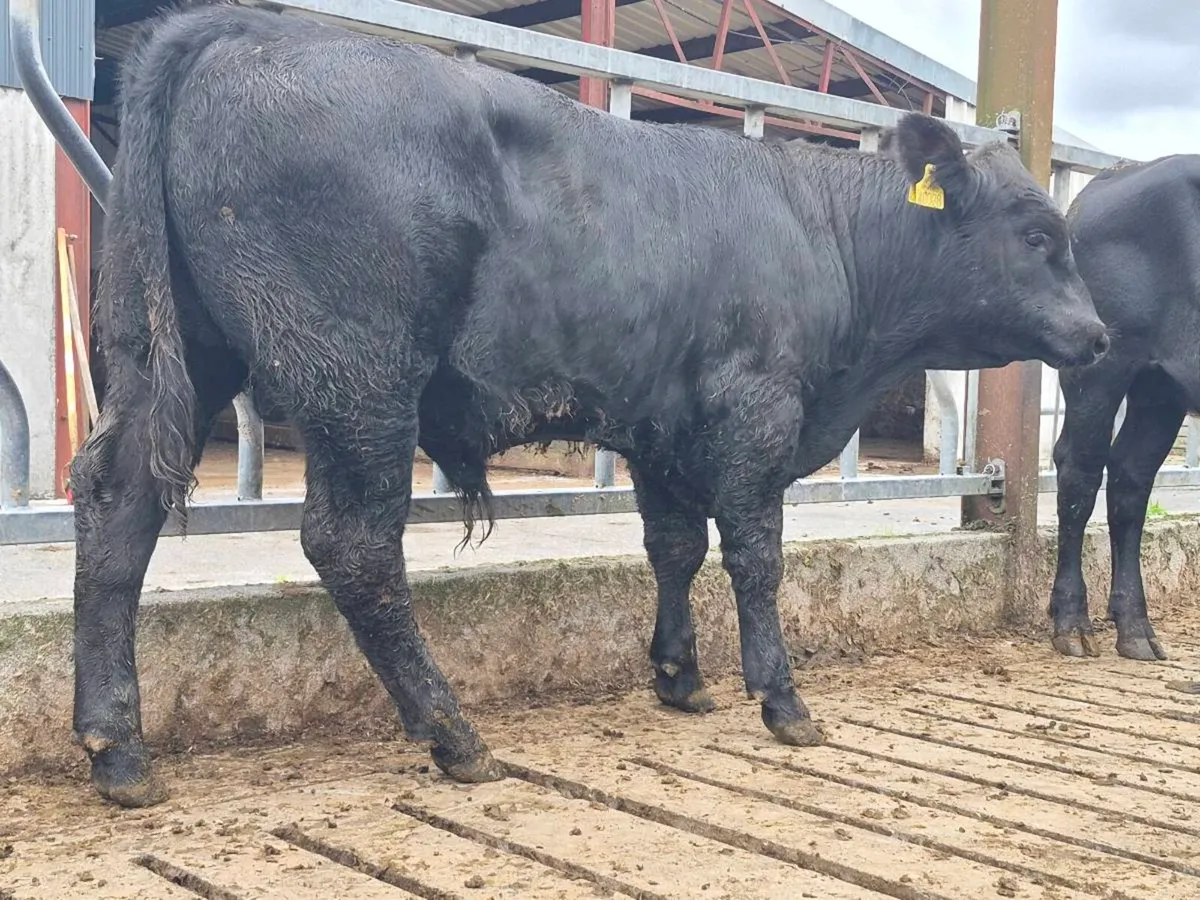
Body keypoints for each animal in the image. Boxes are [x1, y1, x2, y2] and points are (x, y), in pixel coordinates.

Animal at [19, 4, 1109, 808]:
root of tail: (238, 29)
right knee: (353, 544)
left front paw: (680, 678)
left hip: (172, 353)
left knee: (118, 502)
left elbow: (674, 548)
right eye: (1036, 234)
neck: (821, 232)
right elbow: (755, 556)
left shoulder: (664, 429)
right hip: (358, 375)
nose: (1099, 337)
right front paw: (782, 699)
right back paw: (454, 734)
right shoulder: (755, 412)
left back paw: (117, 750)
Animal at [1049, 154, 1200, 661]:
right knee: (1081, 471)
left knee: (1131, 479)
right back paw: (1072, 624)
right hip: (1101, 366)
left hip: (1162, 387)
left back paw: (1135, 628)